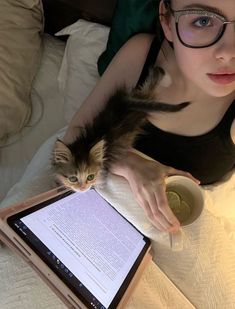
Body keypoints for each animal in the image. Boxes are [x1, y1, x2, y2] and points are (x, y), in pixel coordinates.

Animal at [51, 67, 189, 190]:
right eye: (73, 179)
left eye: (90, 177)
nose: (82, 188)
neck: (85, 143)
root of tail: (126, 104)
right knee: (151, 85)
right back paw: (166, 79)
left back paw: (167, 79)